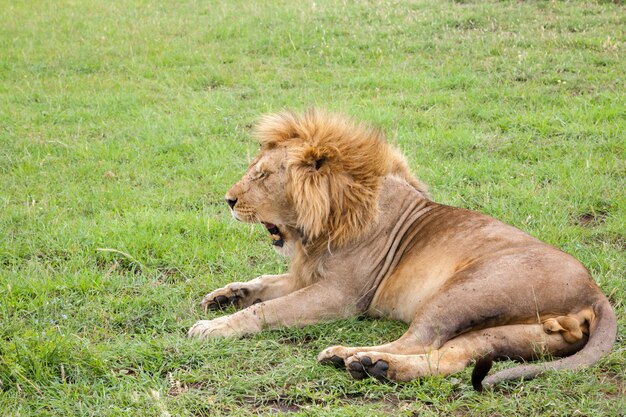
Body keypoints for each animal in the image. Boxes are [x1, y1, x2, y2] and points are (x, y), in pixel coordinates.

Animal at [188, 109, 616, 388]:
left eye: (261, 175)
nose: (228, 200)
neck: (324, 224)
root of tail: (594, 292)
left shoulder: (341, 295)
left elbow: (266, 309)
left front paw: (213, 327)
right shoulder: (308, 274)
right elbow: (263, 283)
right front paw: (225, 296)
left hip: (463, 291)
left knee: (418, 340)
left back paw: (353, 357)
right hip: (514, 334)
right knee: (450, 356)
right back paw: (377, 367)